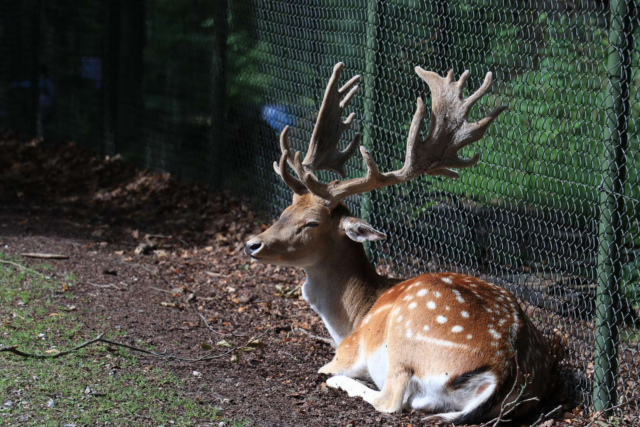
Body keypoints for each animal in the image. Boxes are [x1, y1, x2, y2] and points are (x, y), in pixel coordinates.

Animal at [245, 62, 556, 424]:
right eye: (286, 210)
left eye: (311, 223)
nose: (253, 244)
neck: (351, 317)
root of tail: (504, 366)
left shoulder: (350, 347)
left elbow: (331, 367)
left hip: (404, 343)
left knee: (391, 400)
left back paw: (344, 383)